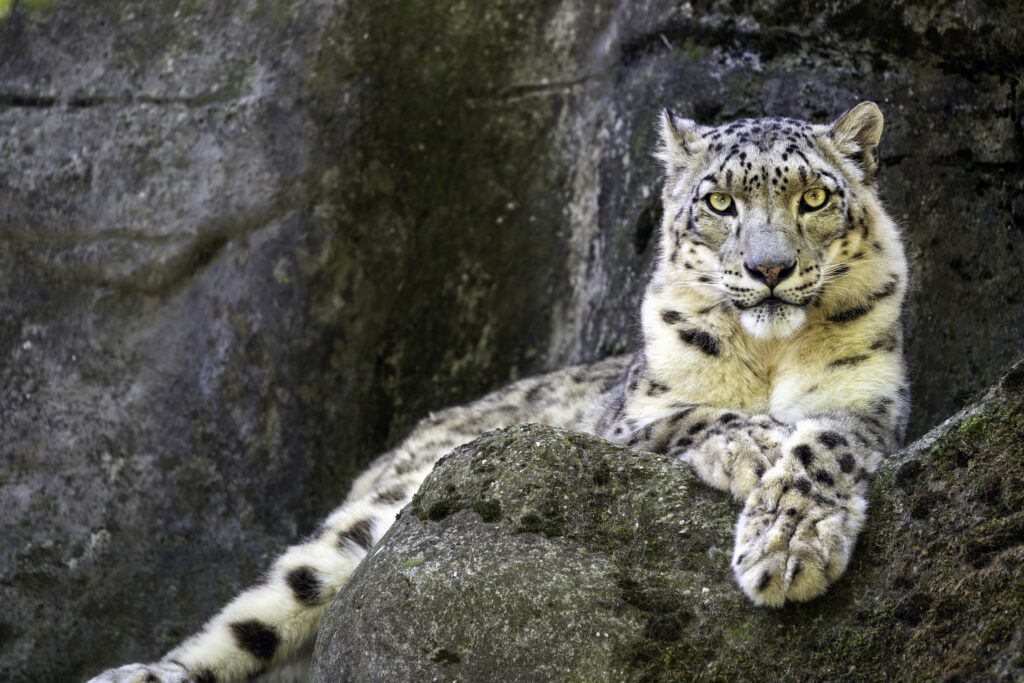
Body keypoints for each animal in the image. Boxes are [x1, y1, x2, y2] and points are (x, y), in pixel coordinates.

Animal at [89, 101, 908, 682]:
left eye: (812, 199)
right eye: (720, 204)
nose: (770, 269)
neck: (770, 353)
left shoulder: (871, 405)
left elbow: (823, 444)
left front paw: (788, 547)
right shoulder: (625, 415)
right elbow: (689, 417)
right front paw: (756, 447)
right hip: (358, 526)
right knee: (261, 608)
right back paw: (141, 673)